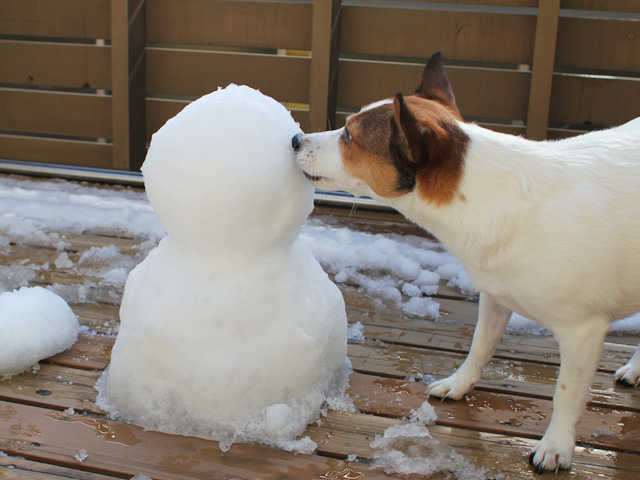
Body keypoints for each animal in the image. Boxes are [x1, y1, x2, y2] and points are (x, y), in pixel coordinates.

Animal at [292, 51, 640, 472]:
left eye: (348, 136)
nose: (294, 139)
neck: (495, 198)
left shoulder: (582, 331)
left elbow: (567, 392)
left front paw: (557, 445)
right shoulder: (496, 295)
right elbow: (480, 346)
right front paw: (459, 384)